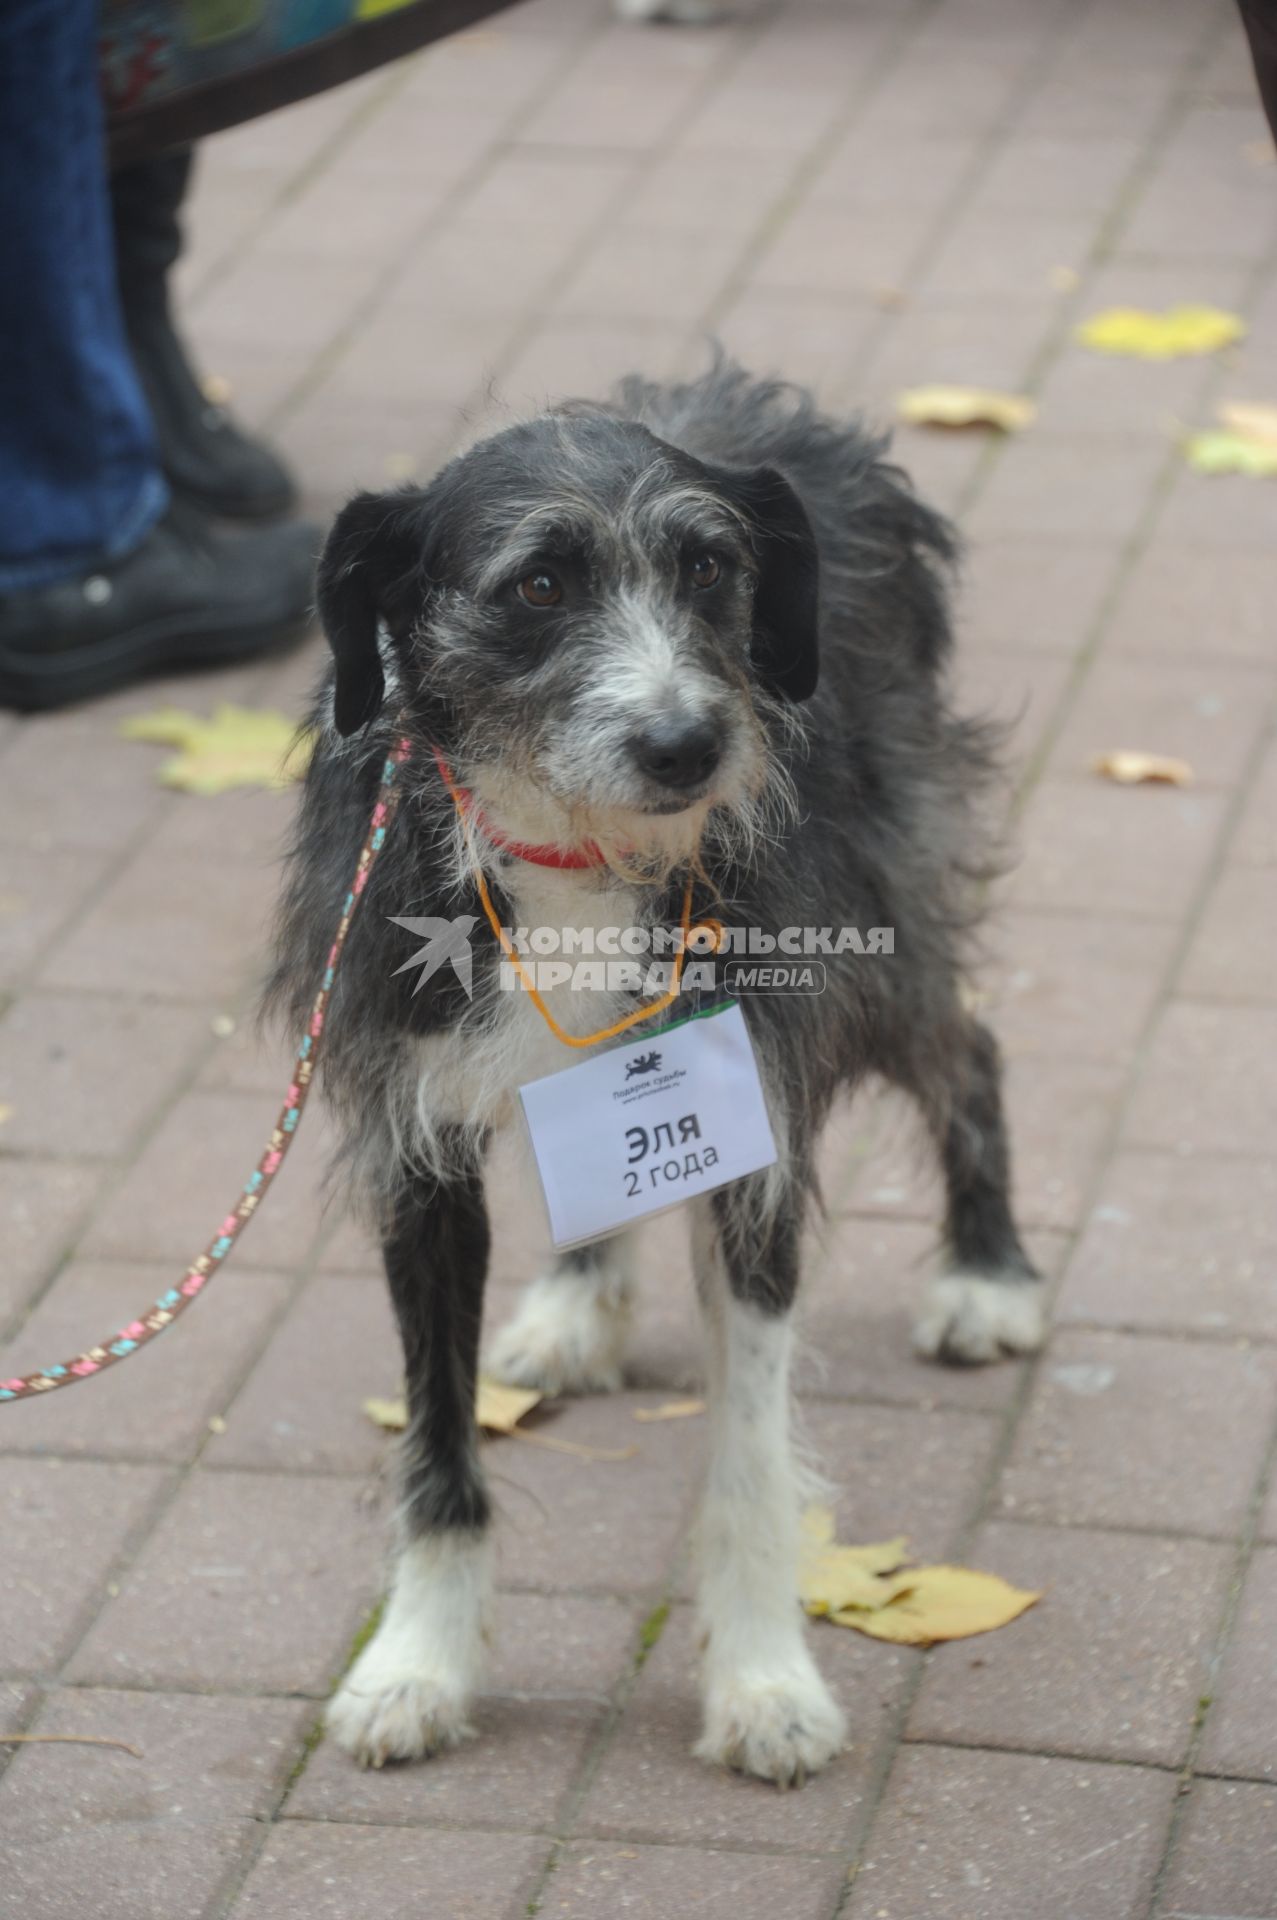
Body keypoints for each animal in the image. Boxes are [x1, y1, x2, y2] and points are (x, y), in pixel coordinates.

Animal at [266, 357, 1036, 1781]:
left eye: (709, 567)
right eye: (536, 586)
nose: (687, 745)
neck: (576, 852)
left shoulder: (756, 1129)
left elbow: (749, 1457)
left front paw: (763, 1678)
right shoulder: (416, 1154)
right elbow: (437, 1443)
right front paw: (416, 1663)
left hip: (892, 921)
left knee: (970, 1049)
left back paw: (985, 1274)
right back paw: (577, 1305)